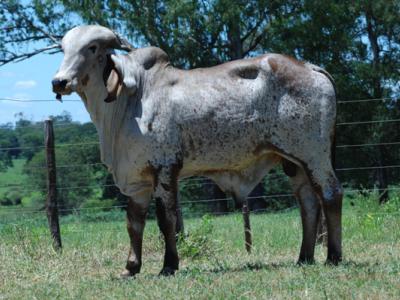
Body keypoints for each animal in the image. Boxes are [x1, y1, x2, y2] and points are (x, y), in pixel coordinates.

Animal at [51, 25, 342, 276]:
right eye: (64, 48)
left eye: (92, 47)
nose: (59, 81)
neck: (128, 102)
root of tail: (311, 67)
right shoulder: (136, 180)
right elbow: (133, 223)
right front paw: (131, 268)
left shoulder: (165, 168)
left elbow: (166, 219)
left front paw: (169, 265)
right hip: (294, 162)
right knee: (308, 202)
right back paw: (304, 257)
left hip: (314, 155)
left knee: (330, 194)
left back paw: (333, 257)